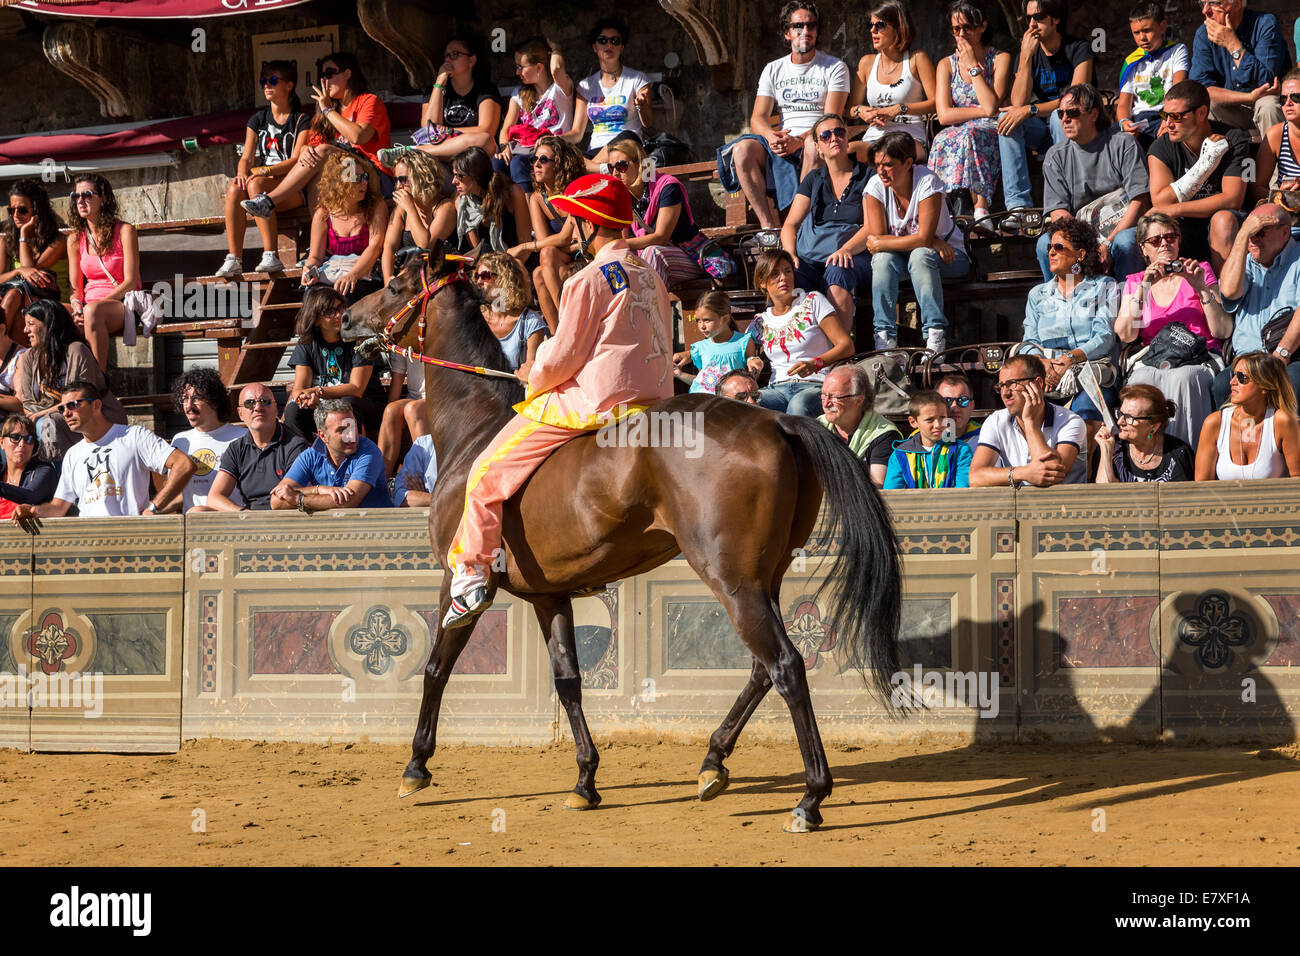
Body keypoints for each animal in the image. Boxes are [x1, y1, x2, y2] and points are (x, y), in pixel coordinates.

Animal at [340, 244, 899, 832]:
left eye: (395, 285)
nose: (346, 319)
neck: (475, 431)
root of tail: (778, 423)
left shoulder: (460, 579)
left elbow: (435, 669)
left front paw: (416, 765)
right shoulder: (549, 595)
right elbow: (568, 680)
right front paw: (585, 779)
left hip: (732, 582)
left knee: (786, 666)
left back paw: (811, 797)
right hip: (761, 579)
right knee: (762, 668)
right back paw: (713, 761)